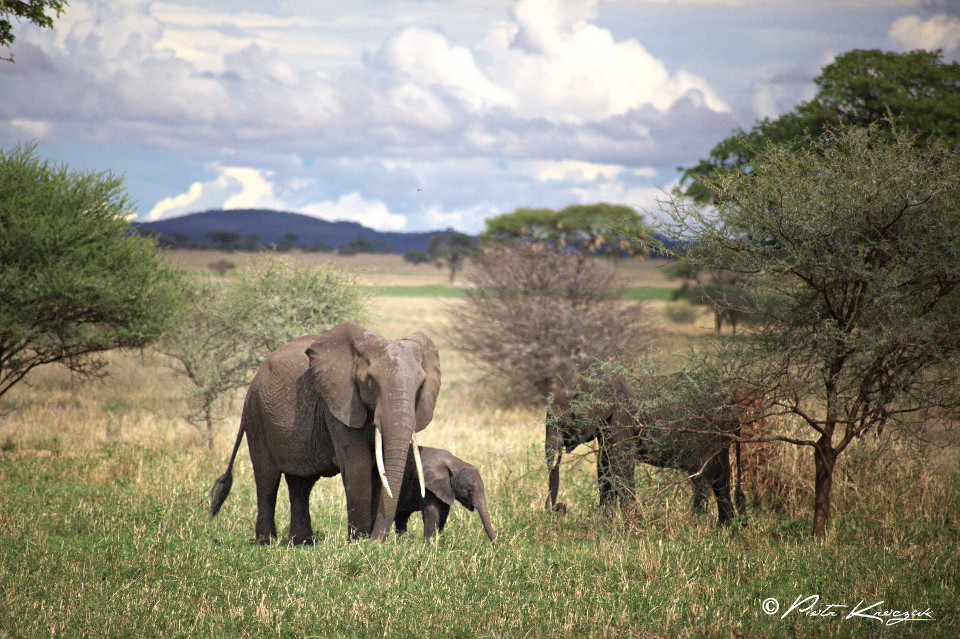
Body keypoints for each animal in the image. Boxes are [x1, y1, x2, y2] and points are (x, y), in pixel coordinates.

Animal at [210, 322, 442, 544]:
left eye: (421, 385)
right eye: (370, 381)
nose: (377, 540)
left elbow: (379, 469)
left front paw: (366, 540)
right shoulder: (339, 405)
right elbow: (358, 465)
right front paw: (358, 542)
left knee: (300, 482)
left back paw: (301, 543)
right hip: (256, 416)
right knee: (267, 478)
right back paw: (266, 542)